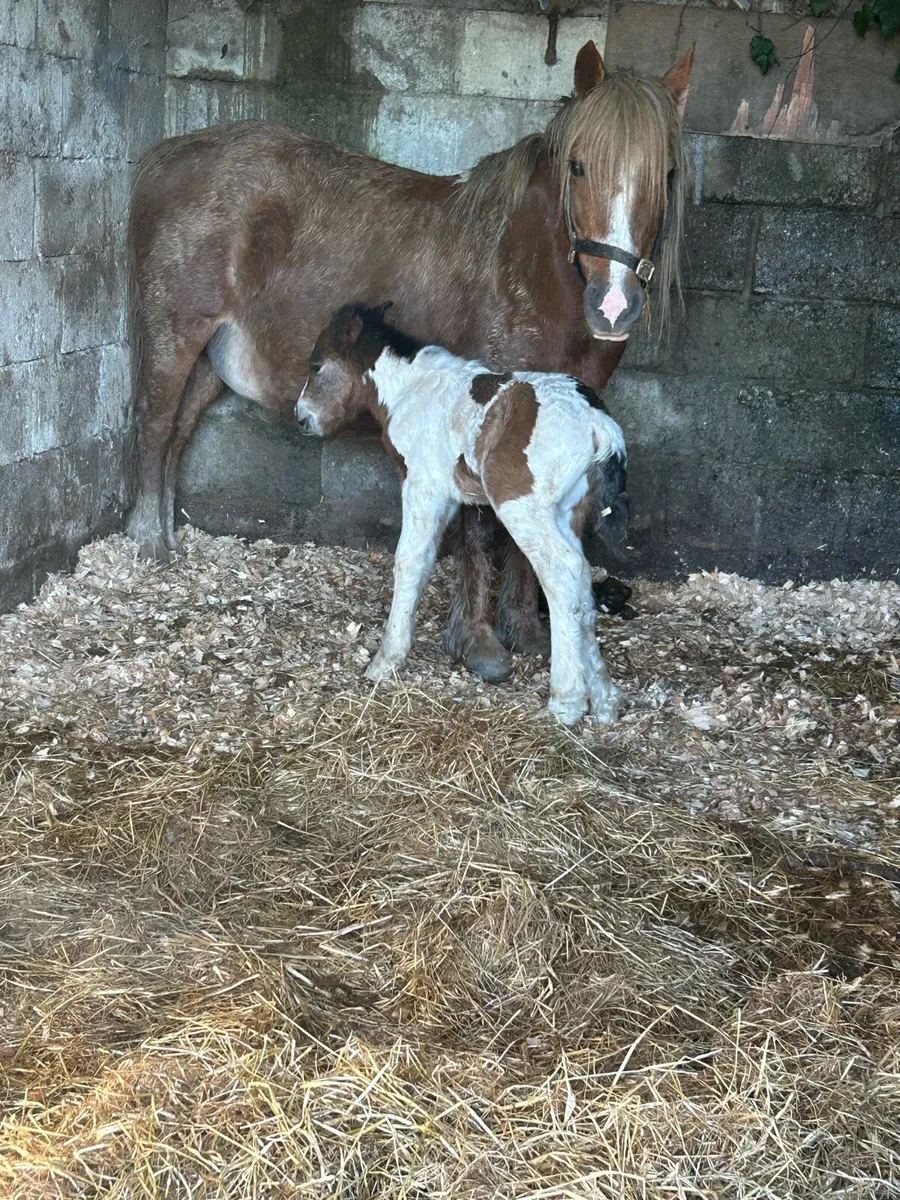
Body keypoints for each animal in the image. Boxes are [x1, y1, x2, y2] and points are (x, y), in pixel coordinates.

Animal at [125, 40, 691, 683]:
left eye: (667, 175)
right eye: (578, 166)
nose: (614, 304)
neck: (524, 266)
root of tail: (166, 156)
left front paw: (525, 628)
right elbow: (481, 530)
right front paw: (479, 642)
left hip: (209, 358)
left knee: (177, 435)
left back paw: (167, 539)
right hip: (174, 336)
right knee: (154, 426)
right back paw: (148, 545)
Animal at [296, 303, 628, 725]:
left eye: (317, 365)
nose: (301, 418)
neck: (409, 389)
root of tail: (597, 423)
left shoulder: (425, 487)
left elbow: (411, 561)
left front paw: (385, 662)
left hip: (522, 508)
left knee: (563, 574)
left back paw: (565, 703)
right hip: (565, 512)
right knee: (583, 583)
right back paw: (604, 699)